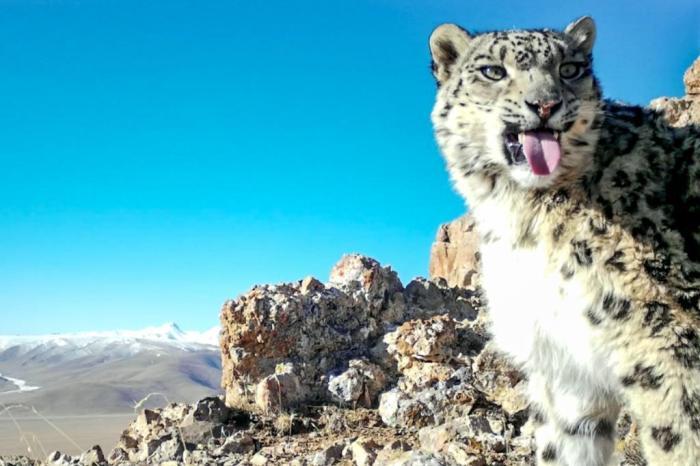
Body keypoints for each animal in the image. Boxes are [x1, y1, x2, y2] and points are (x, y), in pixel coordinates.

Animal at [430, 15, 700, 466]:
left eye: (570, 69)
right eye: (493, 71)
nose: (545, 105)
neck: (522, 219)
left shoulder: (670, 342)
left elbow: (679, 439)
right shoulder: (565, 365)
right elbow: (566, 444)